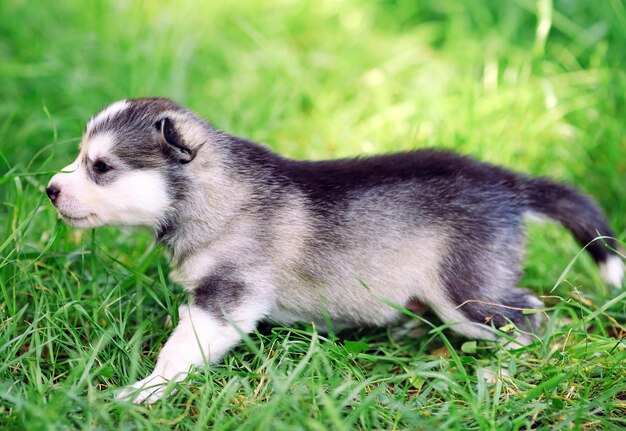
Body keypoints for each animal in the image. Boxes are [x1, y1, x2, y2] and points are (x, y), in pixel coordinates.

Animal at [46, 98, 620, 404]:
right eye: (81, 157)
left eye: (102, 167)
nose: (49, 189)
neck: (215, 195)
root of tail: (505, 182)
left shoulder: (228, 297)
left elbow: (181, 348)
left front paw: (147, 390)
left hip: (467, 291)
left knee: (529, 316)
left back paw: (500, 370)